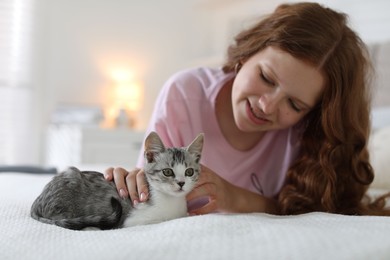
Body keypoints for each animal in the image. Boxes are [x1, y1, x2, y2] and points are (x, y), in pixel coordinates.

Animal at [30, 132, 204, 230]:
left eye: (189, 172)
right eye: (167, 172)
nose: (181, 183)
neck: (172, 203)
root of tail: (37, 202)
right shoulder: (134, 220)